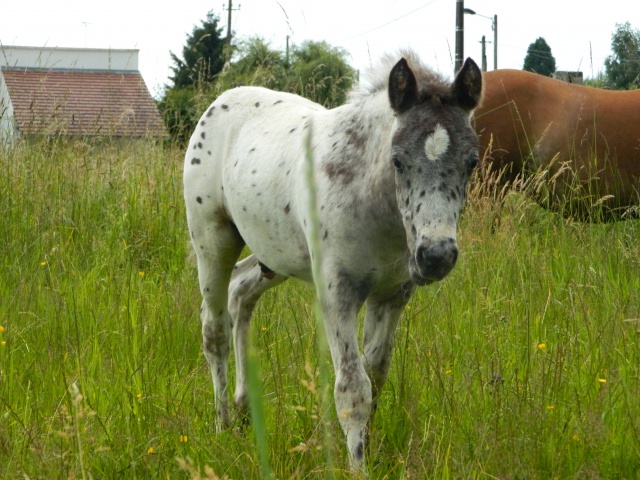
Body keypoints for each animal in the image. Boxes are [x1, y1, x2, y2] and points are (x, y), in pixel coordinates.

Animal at [182, 51, 482, 468]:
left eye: (472, 162)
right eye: (398, 161)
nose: (436, 256)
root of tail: (221, 100)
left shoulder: (393, 295)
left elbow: (376, 375)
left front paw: (368, 450)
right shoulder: (337, 294)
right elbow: (353, 389)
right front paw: (358, 467)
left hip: (275, 256)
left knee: (241, 292)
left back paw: (243, 410)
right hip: (213, 239)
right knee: (214, 329)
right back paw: (223, 425)